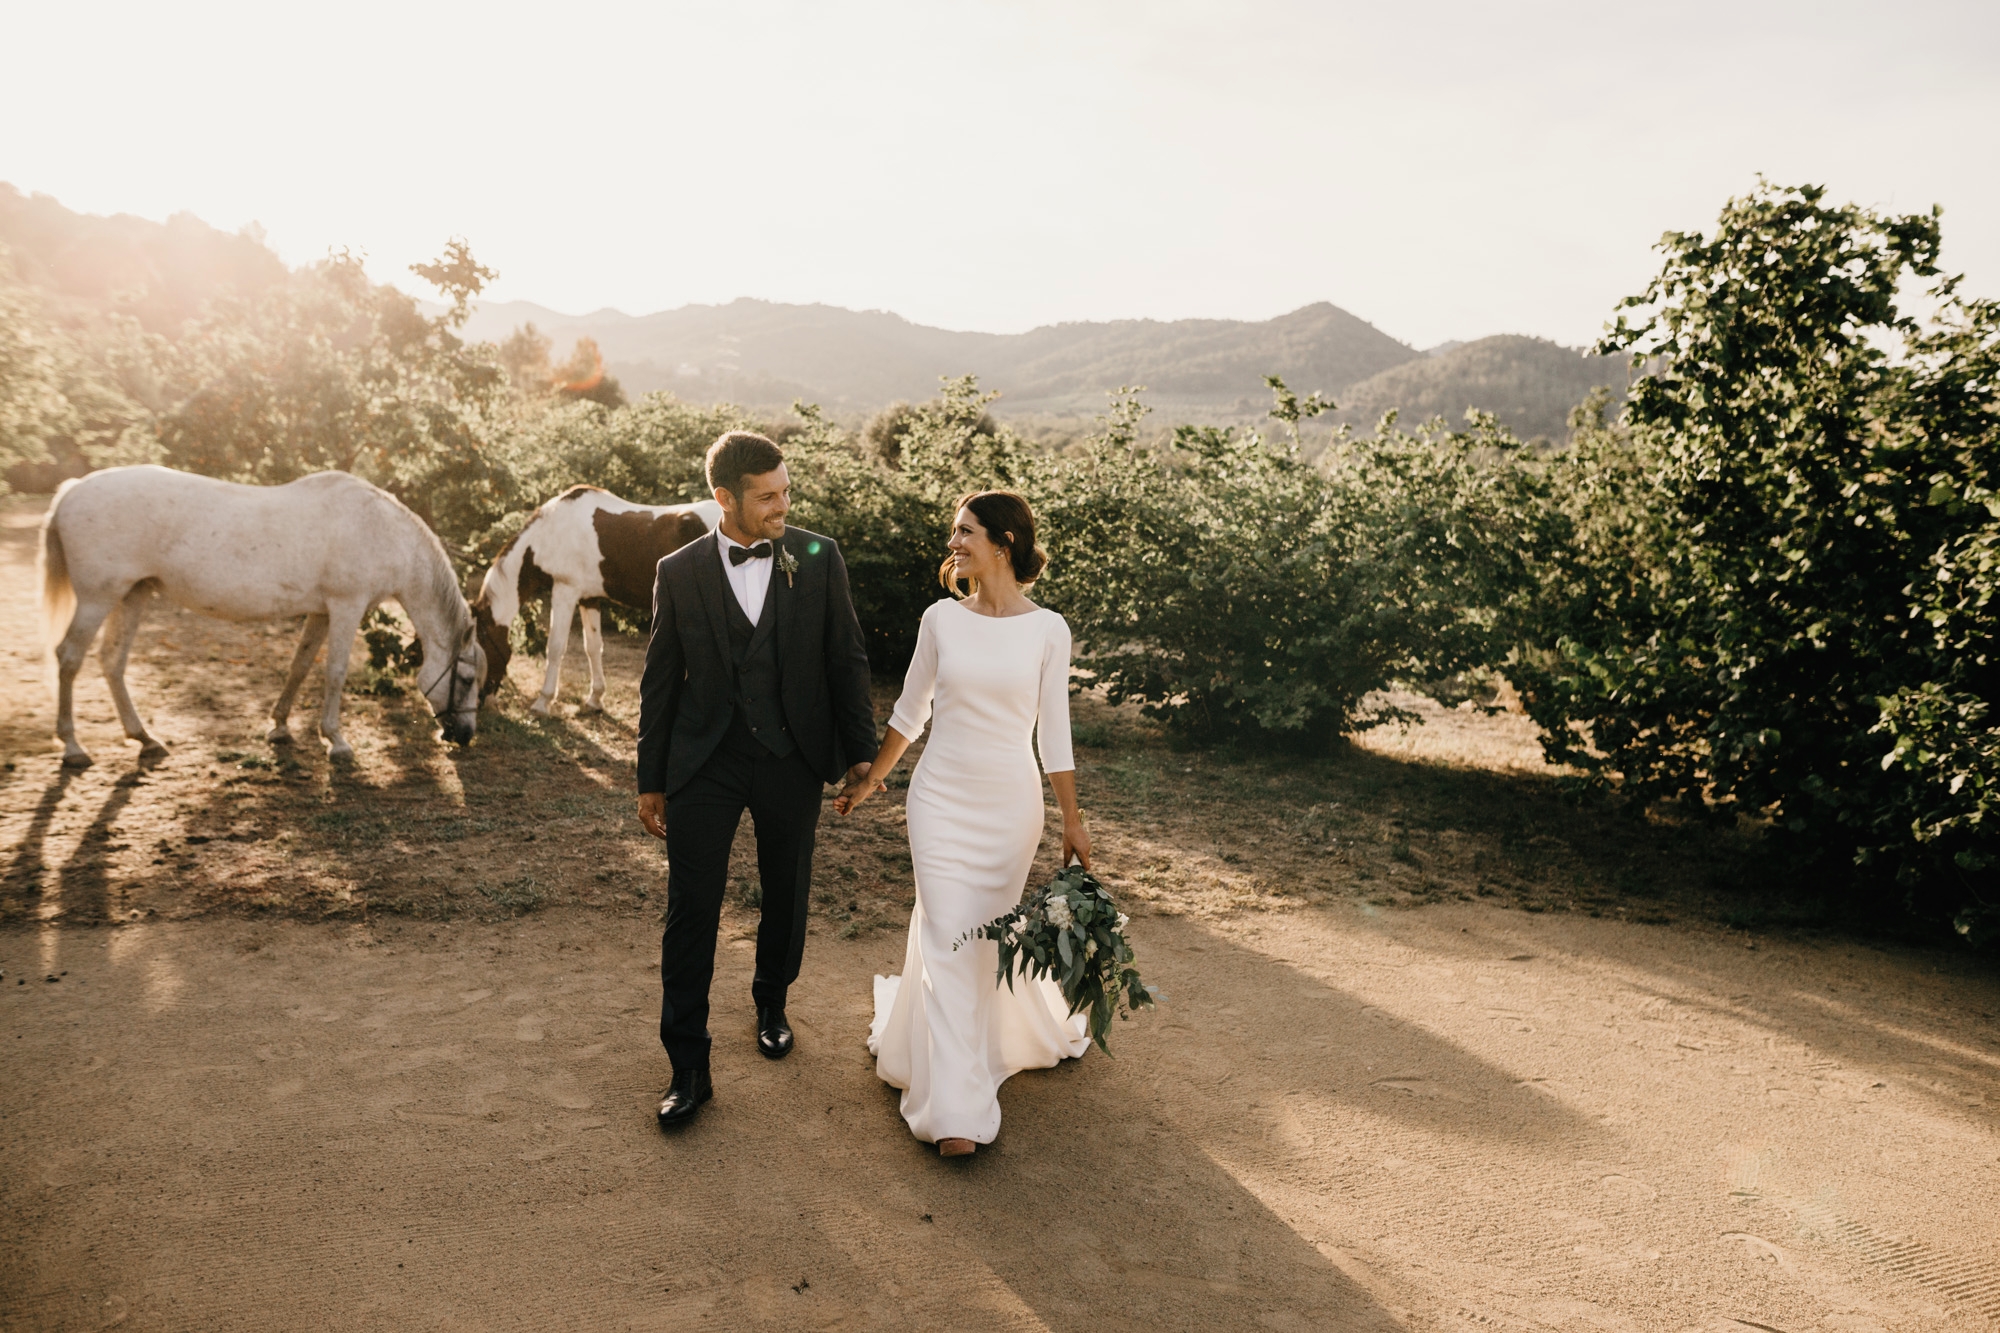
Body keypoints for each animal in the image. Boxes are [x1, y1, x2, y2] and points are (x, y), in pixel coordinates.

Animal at [41, 462, 486, 764]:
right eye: (465, 678)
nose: (465, 735)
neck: (382, 532)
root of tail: (74, 489)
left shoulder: (321, 613)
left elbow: (300, 665)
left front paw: (280, 727)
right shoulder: (347, 607)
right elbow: (335, 672)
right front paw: (336, 741)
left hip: (132, 595)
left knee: (112, 661)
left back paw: (143, 737)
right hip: (98, 599)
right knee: (70, 658)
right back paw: (73, 746)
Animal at [468, 486, 720, 716]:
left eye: (480, 648)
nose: (480, 701)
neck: (549, 533)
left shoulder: (564, 591)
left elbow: (556, 647)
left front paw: (543, 702)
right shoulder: (589, 598)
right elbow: (593, 647)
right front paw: (595, 699)